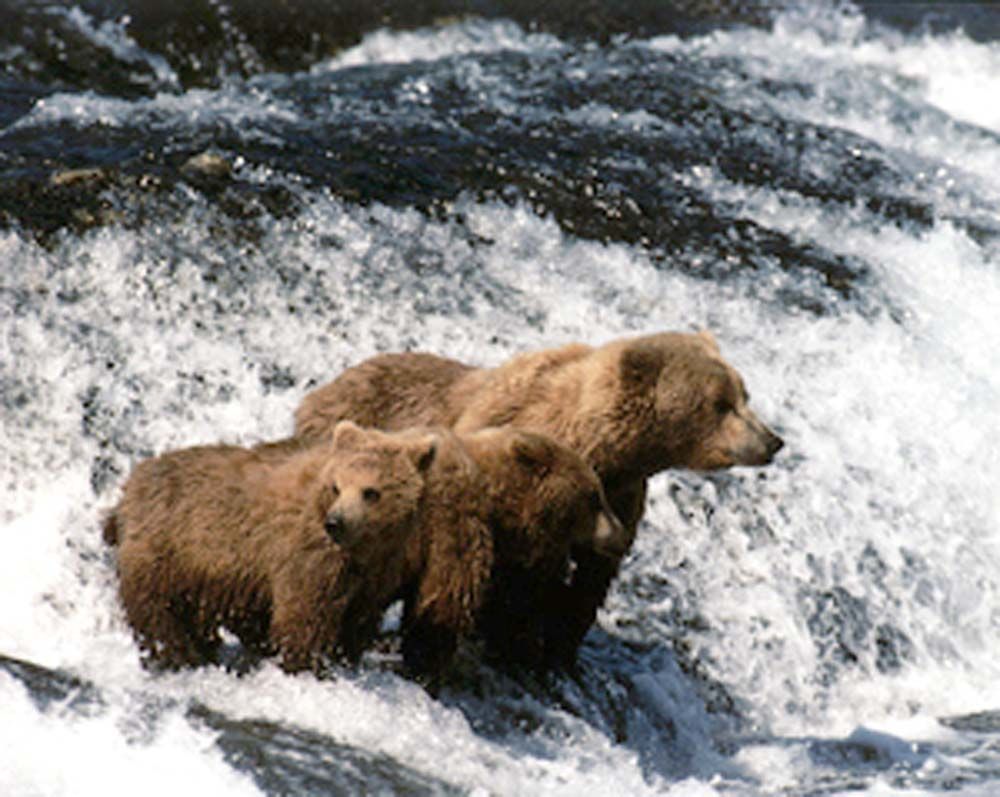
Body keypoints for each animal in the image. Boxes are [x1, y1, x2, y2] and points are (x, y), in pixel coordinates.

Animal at [103, 421, 493, 677]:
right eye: (337, 486)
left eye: (371, 491)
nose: (337, 522)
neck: (367, 545)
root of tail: (128, 486)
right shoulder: (308, 554)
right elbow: (305, 614)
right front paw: (308, 664)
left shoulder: (376, 570)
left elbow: (357, 618)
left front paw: (344, 659)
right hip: (170, 548)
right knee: (157, 611)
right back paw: (178, 655)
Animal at [293, 330, 783, 665]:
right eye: (720, 403)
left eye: (743, 393)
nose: (772, 440)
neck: (602, 447)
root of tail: (323, 387)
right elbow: (521, 578)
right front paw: (516, 644)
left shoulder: (620, 498)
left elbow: (592, 577)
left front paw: (558, 651)